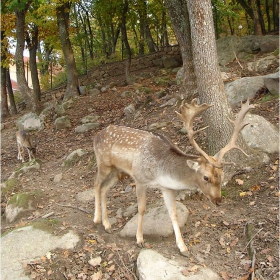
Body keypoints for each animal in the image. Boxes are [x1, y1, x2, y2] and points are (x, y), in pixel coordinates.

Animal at [92, 98, 254, 256]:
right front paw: (139, 239)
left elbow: (173, 214)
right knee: (96, 185)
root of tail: (97, 135)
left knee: (104, 189)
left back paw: (107, 224)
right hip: (103, 163)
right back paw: (97, 219)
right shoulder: (140, 179)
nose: (218, 200)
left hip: (117, 171)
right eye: (206, 177)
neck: (161, 172)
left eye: (222, 175)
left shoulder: (167, 188)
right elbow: (142, 209)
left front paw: (183, 248)